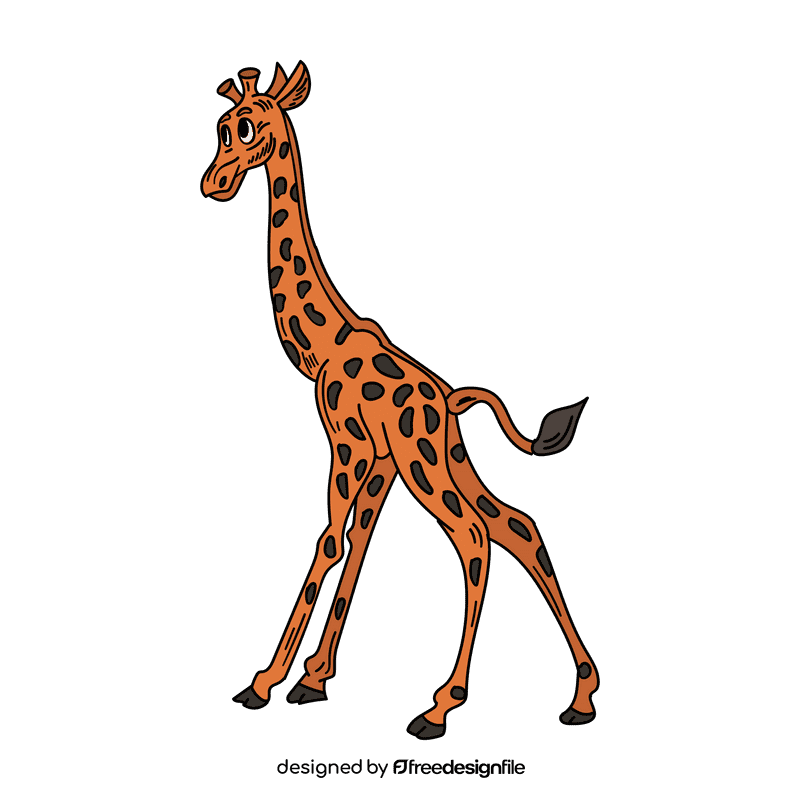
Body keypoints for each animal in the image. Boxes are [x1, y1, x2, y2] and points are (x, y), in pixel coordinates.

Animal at [200, 62, 600, 739]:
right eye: (221, 127)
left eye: (246, 128)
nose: (213, 184)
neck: (321, 344)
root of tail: (452, 400)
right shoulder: (379, 462)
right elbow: (357, 546)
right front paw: (313, 679)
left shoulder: (350, 446)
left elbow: (330, 542)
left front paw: (265, 681)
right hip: (445, 458)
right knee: (517, 526)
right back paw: (581, 696)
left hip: (427, 464)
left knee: (475, 536)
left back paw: (439, 706)